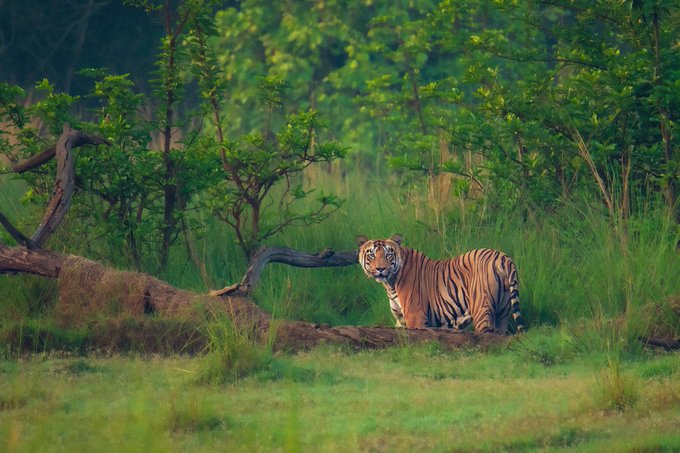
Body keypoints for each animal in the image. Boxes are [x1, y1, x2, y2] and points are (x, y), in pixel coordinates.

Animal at [357, 234, 525, 334]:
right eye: (371, 255)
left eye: (388, 254)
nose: (380, 269)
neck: (390, 284)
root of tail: (502, 257)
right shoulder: (401, 320)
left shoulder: (415, 317)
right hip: (503, 311)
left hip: (481, 309)